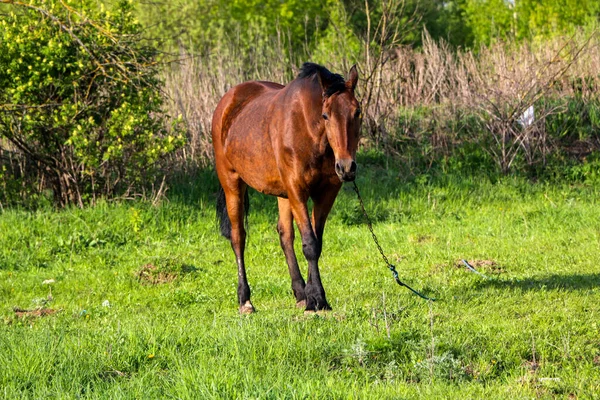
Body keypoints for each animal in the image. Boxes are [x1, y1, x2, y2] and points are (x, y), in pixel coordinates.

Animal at [212, 62, 360, 314]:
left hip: (282, 194)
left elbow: (316, 242)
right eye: (325, 115)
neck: (309, 130)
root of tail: (227, 101)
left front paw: (312, 297)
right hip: (232, 183)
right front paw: (317, 298)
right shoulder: (297, 190)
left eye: (357, 112)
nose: (346, 166)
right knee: (238, 237)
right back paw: (245, 300)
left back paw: (299, 292)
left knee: (285, 234)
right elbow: (310, 244)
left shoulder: (326, 193)